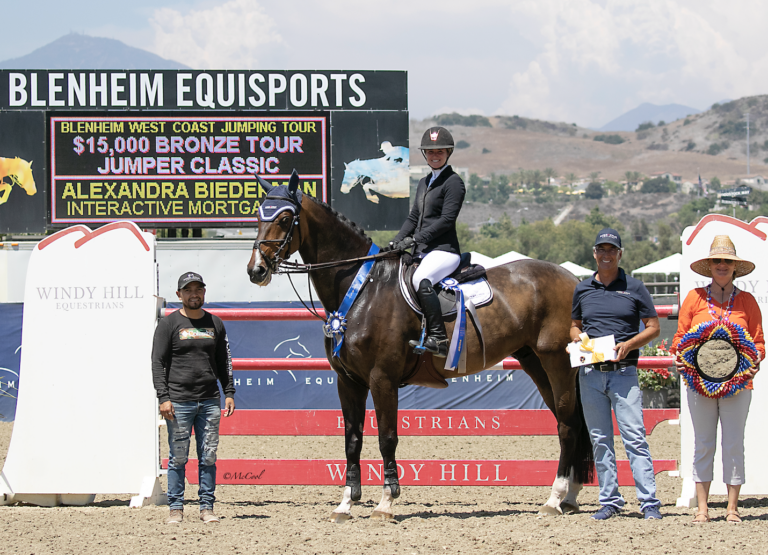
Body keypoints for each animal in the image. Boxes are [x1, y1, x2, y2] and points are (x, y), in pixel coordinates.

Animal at [246, 173, 592, 520]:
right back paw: (571, 497)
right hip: (535, 362)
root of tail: (572, 279)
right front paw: (345, 504)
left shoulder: (382, 378)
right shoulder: (348, 381)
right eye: (259, 216)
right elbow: (352, 440)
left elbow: (387, 438)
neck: (362, 288)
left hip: (556, 362)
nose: (256, 270)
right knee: (573, 422)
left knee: (567, 425)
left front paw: (385, 503)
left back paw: (554, 499)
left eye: (285, 218)